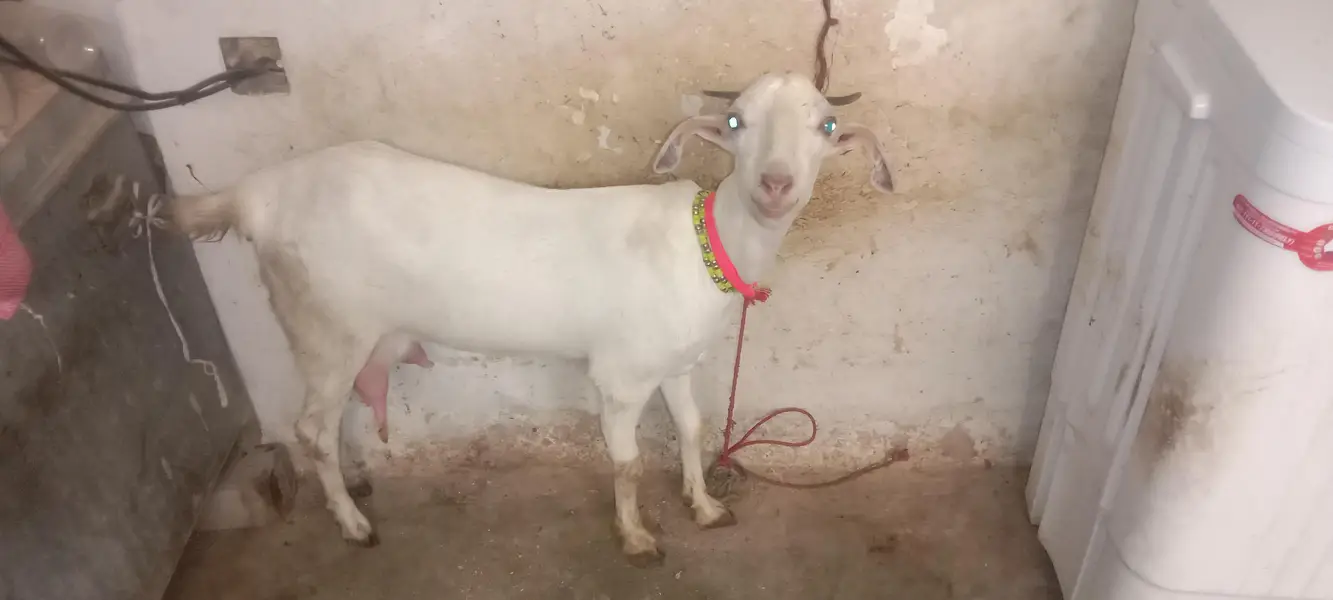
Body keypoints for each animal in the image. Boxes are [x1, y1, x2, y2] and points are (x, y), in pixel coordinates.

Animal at [170, 72, 893, 565]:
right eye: (737, 123)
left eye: (827, 127)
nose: (775, 184)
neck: (703, 247)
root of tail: (258, 195)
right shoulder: (622, 375)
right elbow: (628, 463)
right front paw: (637, 537)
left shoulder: (676, 361)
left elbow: (691, 430)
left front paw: (705, 506)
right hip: (325, 326)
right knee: (312, 430)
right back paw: (352, 524)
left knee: (332, 422)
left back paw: (353, 488)